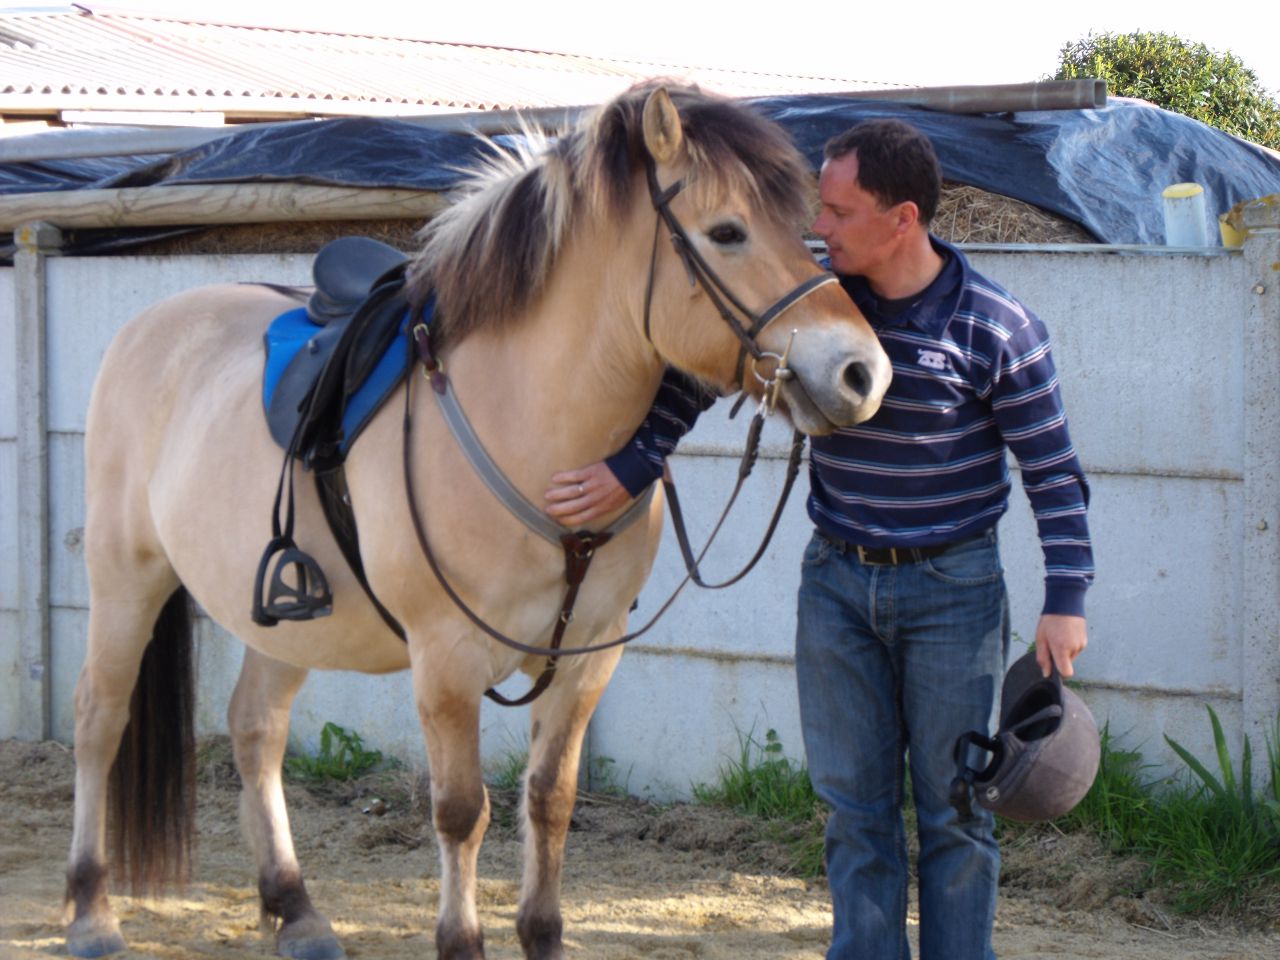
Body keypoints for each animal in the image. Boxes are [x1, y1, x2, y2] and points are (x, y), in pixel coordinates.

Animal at [62, 82, 892, 960]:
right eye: (728, 232)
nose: (862, 373)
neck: (530, 426)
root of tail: (149, 326)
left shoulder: (590, 657)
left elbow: (550, 799)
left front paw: (544, 935)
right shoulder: (446, 662)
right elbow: (462, 812)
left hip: (285, 622)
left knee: (256, 730)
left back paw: (296, 910)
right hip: (126, 578)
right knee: (99, 718)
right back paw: (91, 910)